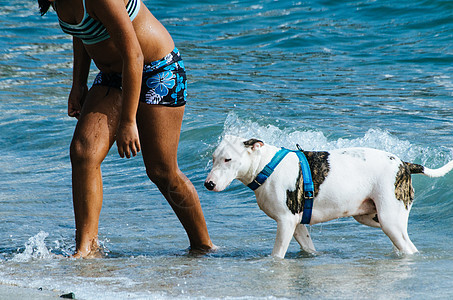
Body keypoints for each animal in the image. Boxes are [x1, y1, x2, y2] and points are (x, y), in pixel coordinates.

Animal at [205, 135, 452, 258]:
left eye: (228, 159)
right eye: (214, 157)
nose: (208, 184)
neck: (266, 166)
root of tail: (405, 164)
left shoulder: (285, 222)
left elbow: (277, 254)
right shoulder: (296, 224)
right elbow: (308, 247)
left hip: (390, 219)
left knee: (409, 246)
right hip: (374, 217)